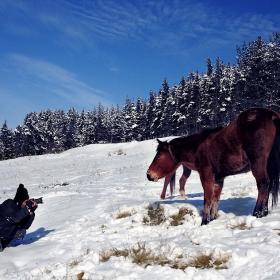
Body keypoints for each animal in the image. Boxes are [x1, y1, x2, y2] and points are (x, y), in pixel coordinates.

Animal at [147, 107, 280, 225]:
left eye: (159, 156)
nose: (149, 174)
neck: (197, 147)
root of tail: (272, 116)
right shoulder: (218, 180)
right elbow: (215, 200)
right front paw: (213, 218)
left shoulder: (206, 176)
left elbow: (207, 199)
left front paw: (205, 221)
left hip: (258, 163)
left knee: (263, 184)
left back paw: (258, 213)